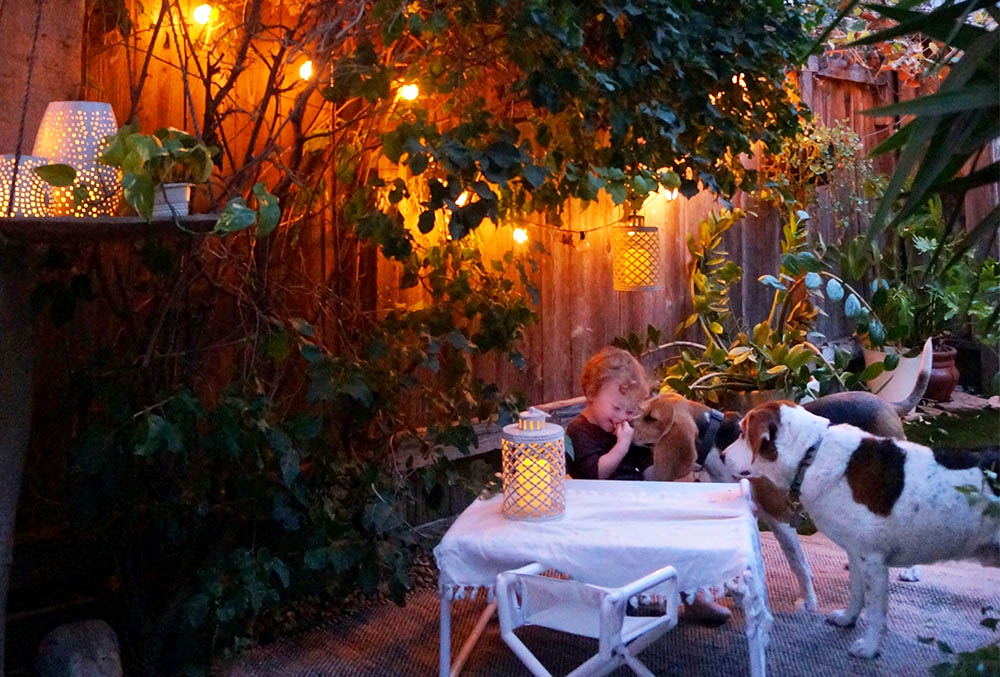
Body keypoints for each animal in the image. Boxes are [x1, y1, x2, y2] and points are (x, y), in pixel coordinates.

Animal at [724, 398, 996, 656]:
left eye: (742, 433)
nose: (723, 456)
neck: (811, 455)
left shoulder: (872, 558)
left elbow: (875, 610)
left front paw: (869, 648)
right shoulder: (855, 552)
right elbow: (856, 592)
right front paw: (847, 619)